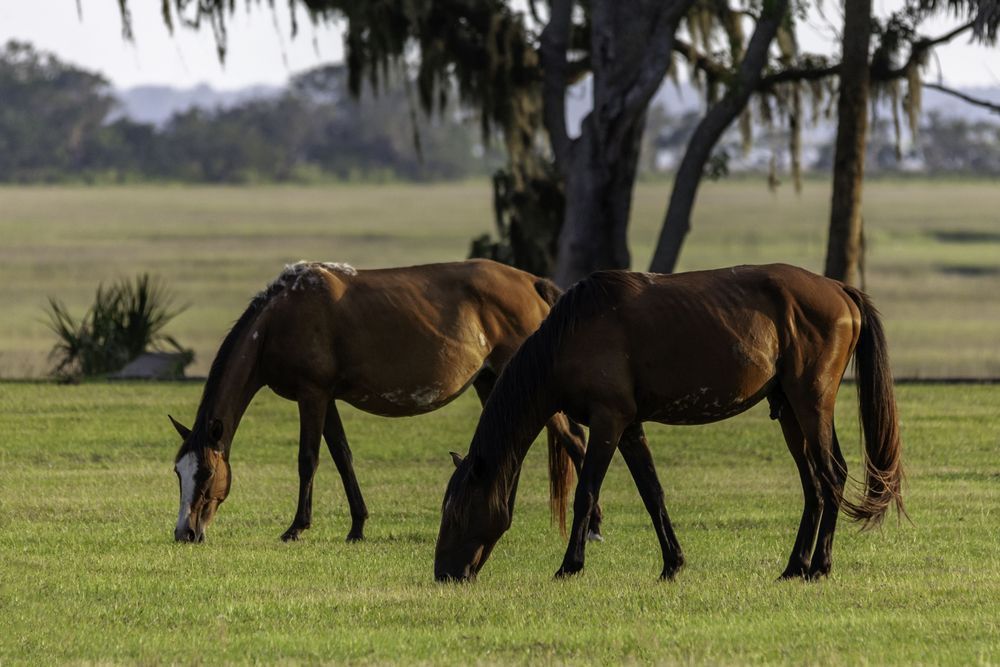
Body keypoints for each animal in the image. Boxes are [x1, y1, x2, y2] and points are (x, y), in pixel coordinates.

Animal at [170, 259, 598, 544]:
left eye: (205, 473)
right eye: (178, 473)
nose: (185, 532)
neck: (281, 317)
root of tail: (532, 283)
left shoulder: (312, 395)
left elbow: (308, 460)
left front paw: (296, 527)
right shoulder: (327, 399)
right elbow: (343, 457)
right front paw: (357, 526)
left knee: (575, 442)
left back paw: (593, 527)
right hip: (493, 382)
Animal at [435, 264, 905, 581]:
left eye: (457, 513)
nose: (444, 574)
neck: (573, 333)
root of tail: (841, 290)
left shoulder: (607, 423)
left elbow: (586, 494)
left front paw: (569, 565)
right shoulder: (628, 427)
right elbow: (652, 493)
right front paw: (672, 564)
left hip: (812, 404)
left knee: (832, 476)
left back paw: (820, 565)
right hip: (789, 410)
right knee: (814, 486)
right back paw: (795, 566)